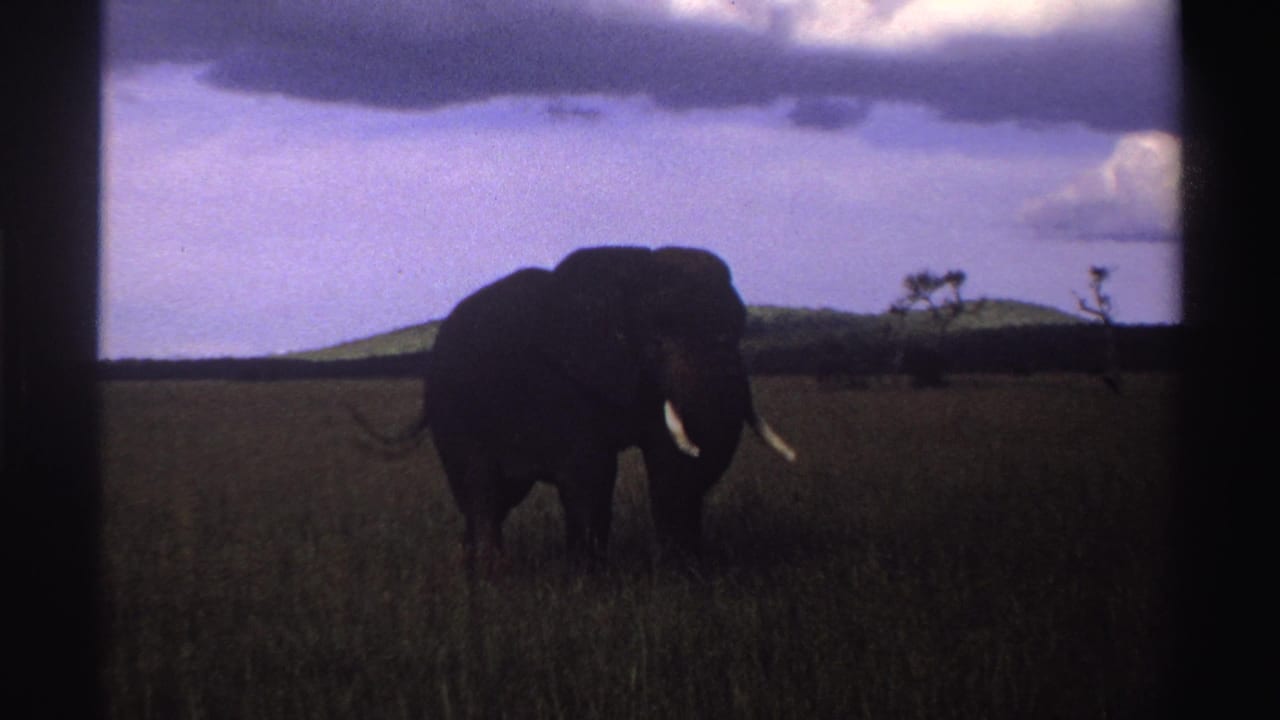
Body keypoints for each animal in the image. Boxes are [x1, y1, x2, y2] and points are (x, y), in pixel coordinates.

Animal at [379, 246, 796, 570]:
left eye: (741, 331)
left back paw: (468, 566)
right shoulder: (565, 382)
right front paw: (588, 578)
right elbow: (590, 471)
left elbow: (667, 463)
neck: (632, 271)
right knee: (481, 488)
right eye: (657, 341)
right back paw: (490, 572)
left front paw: (682, 570)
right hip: (452, 409)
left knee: (501, 495)